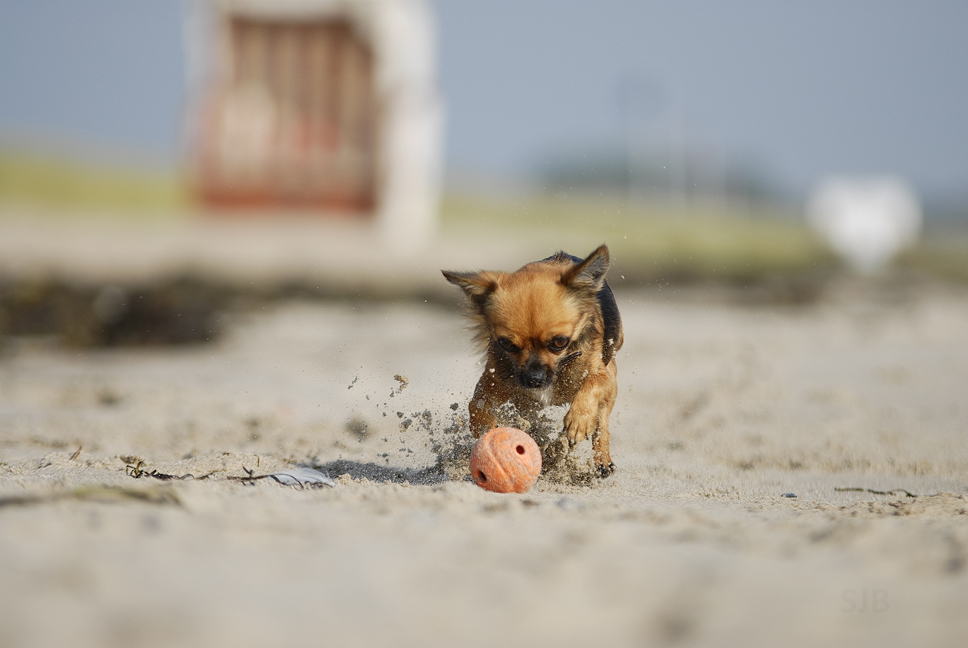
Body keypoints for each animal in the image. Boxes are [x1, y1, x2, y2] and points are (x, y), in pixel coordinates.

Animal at [442, 243, 624, 476]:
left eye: (560, 341)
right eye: (506, 343)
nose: (533, 379)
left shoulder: (606, 377)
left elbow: (592, 382)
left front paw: (579, 419)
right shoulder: (494, 383)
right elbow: (475, 405)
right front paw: (485, 428)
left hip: (612, 380)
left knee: (602, 424)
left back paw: (602, 459)